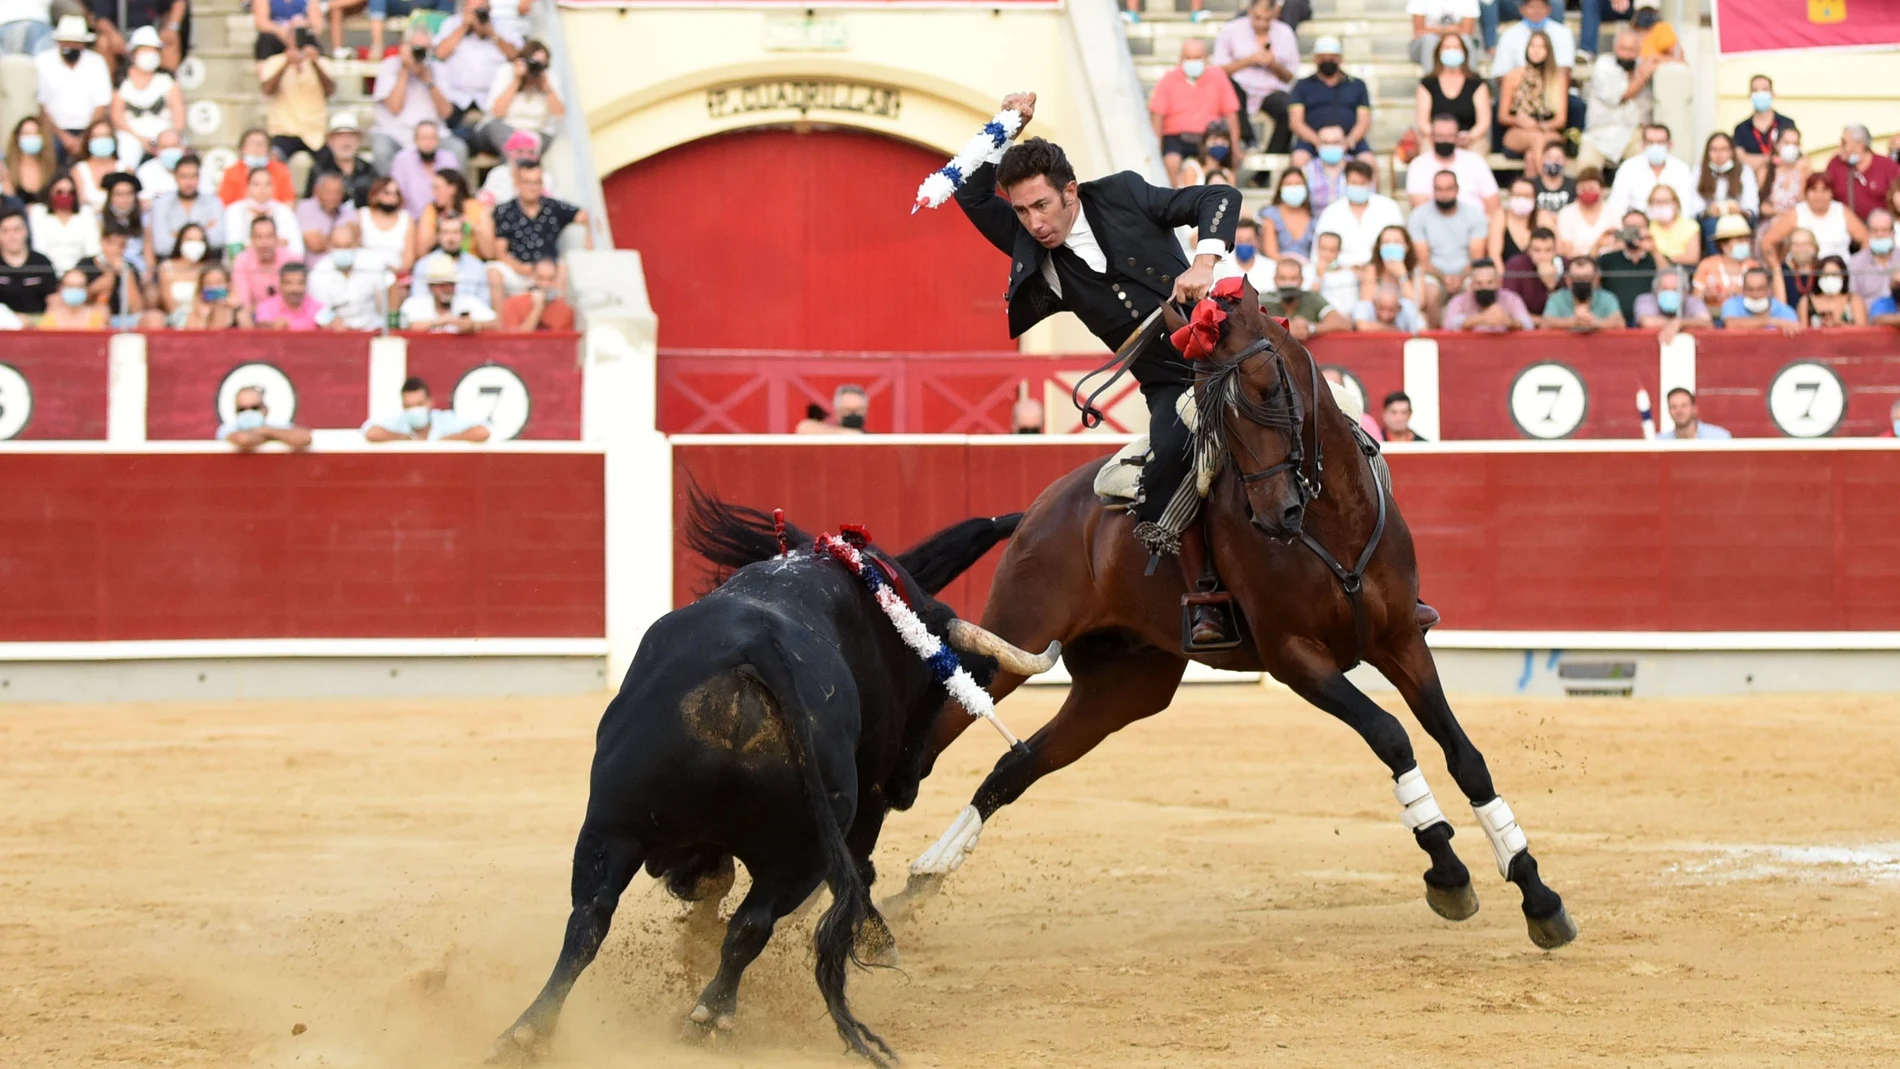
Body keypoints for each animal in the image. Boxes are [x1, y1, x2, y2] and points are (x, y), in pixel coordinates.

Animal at [490, 497, 1056, 1063]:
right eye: (941, 687)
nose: (911, 786)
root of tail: (756, 656)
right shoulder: (869, 796)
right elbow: (854, 869)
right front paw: (878, 941)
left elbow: (705, 883)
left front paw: (694, 936)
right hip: (802, 848)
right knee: (753, 922)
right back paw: (711, 1012)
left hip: (614, 824)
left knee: (592, 918)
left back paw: (530, 1029)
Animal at [896, 281, 1580, 949]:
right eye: (1209, 416)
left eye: (1270, 387)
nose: (1276, 514)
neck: (1331, 519)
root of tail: (1033, 513)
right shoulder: (1296, 657)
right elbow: (1389, 733)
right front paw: (1447, 871)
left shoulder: (1402, 640)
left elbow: (1465, 755)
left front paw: (1537, 894)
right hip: (1014, 638)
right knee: (938, 727)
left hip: (1124, 687)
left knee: (1017, 764)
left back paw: (923, 876)